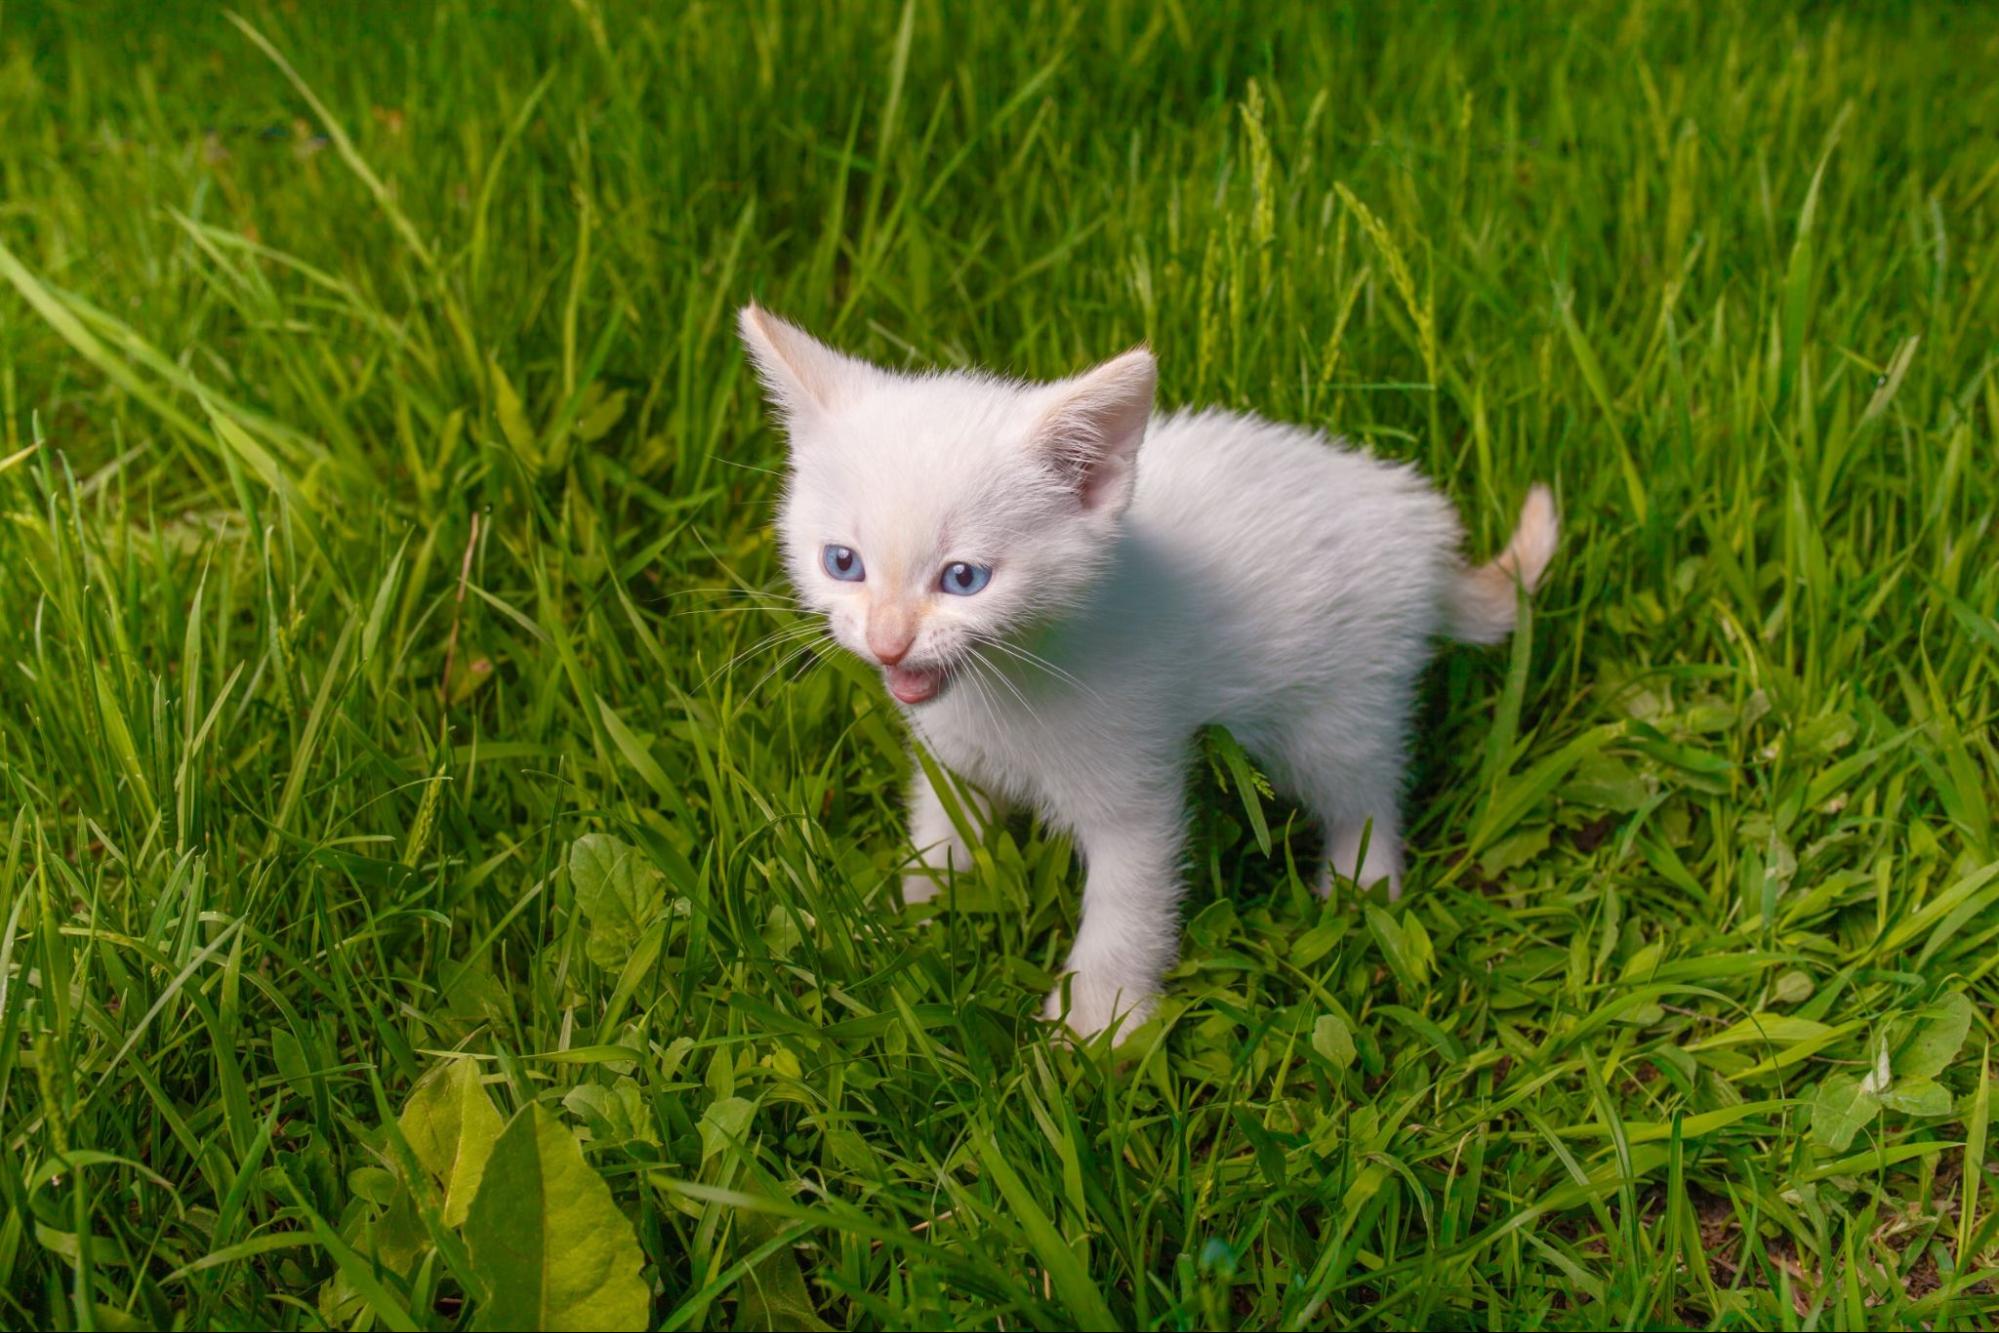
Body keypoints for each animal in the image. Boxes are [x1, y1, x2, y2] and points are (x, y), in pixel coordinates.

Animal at [743, 305, 1551, 1039]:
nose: (888, 642)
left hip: (1341, 704)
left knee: (1366, 789)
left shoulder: (1133, 780)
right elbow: (944, 823)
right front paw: (909, 918)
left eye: (963, 578)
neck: (1008, 683)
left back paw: (1362, 883)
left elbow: (1129, 901)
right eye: (842, 562)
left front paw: (1097, 1025)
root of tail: (1419, 526)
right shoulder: (954, 750)